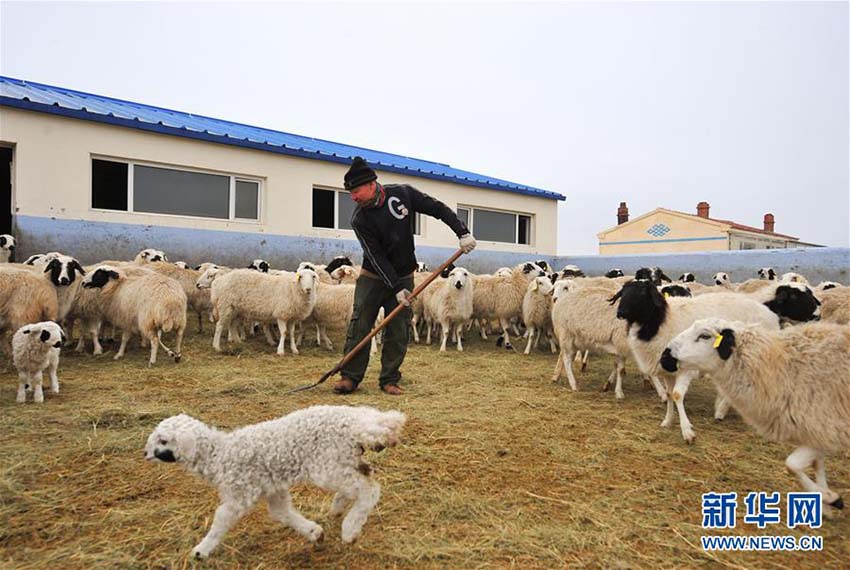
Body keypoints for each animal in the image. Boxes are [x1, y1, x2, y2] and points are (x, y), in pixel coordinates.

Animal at [143, 404, 408, 560]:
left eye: (163, 440)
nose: (146, 453)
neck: (219, 454)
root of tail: (357, 422)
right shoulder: (274, 489)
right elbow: (282, 513)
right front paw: (314, 532)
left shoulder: (239, 494)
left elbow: (221, 520)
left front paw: (201, 550)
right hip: (344, 460)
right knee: (364, 477)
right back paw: (337, 509)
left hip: (326, 466)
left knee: (369, 489)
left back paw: (350, 529)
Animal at [608, 280, 780, 444]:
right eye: (623, 293)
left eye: (642, 292)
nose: (620, 313)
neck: (660, 322)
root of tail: (770, 314)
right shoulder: (667, 371)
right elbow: (669, 395)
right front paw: (668, 420)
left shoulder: (685, 367)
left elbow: (677, 395)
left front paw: (687, 431)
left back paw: (723, 410)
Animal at [664, 318, 848, 508]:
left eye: (705, 336)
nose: (665, 357)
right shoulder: (819, 432)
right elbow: (814, 464)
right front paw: (826, 500)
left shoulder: (826, 426)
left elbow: (792, 465)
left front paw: (831, 498)